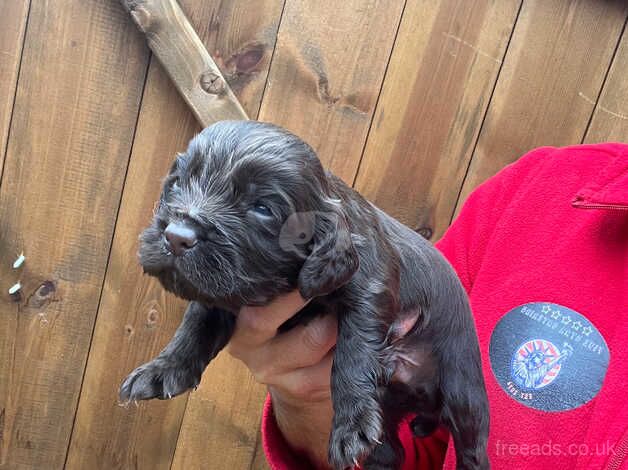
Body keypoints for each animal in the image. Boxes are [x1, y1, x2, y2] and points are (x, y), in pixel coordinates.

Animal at [119, 122, 490, 470]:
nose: (176, 236)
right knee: (392, 452)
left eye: (262, 207)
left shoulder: (371, 285)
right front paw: (162, 370)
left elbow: (354, 354)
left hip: (462, 391)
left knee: (472, 446)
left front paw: (351, 425)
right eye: (178, 182)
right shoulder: (219, 290)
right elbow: (195, 324)